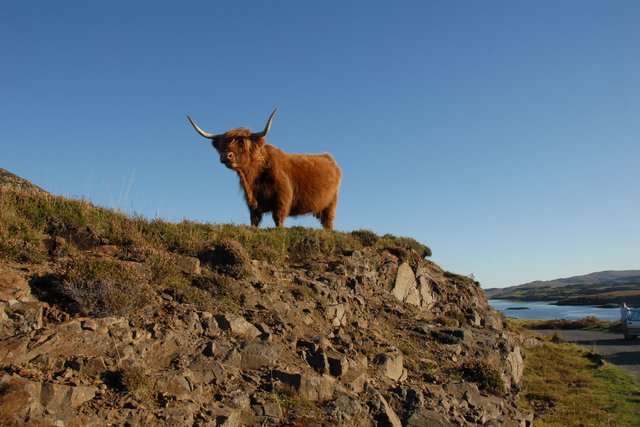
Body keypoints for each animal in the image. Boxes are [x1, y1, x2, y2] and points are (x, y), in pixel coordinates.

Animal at [188, 110, 342, 231]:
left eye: (241, 143)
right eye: (223, 144)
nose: (226, 156)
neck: (252, 178)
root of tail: (329, 157)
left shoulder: (282, 198)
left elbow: (278, 218)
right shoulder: (252, 203)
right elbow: (254, 219)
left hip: (331, 203)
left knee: (328, 221)